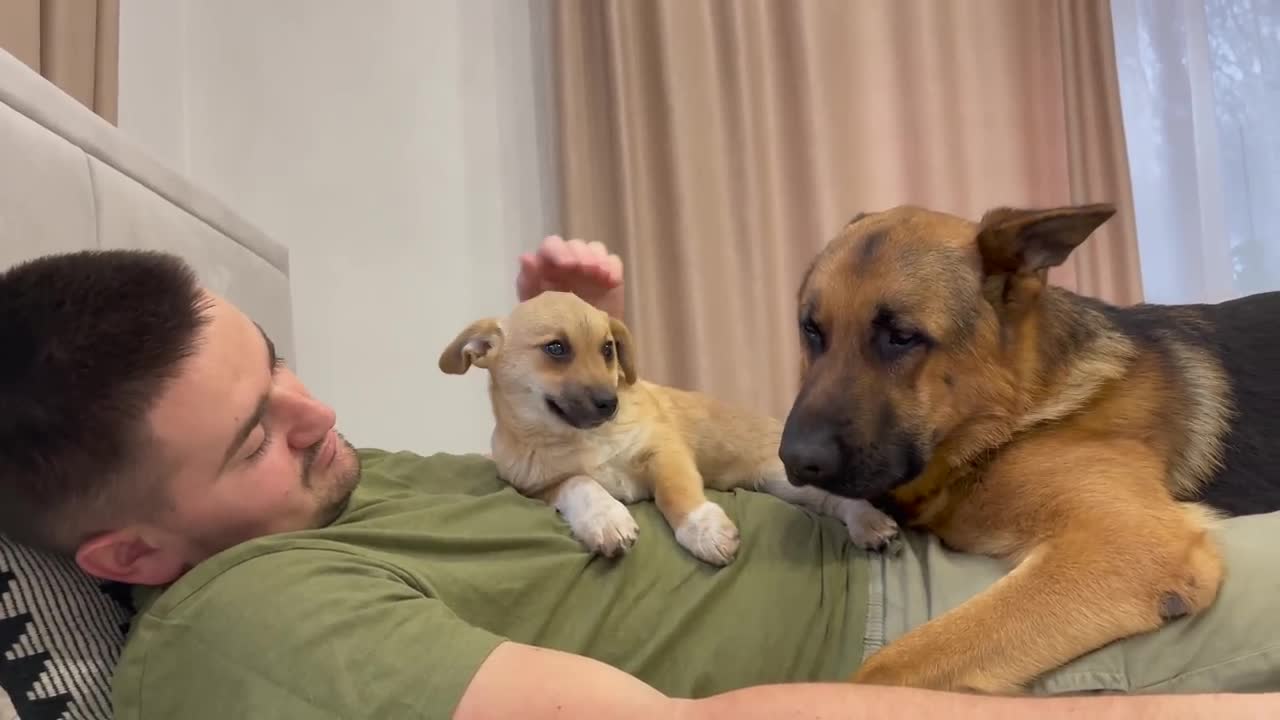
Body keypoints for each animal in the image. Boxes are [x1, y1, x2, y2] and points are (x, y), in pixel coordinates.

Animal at [442, 288, 901, 563]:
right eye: (556, 348)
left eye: (607, 349)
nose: (610, 402)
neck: (583, 439)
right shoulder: (537, 488)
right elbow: (580, 484)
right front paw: (605, 520)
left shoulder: (664, 450)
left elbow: (675, 492)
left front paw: (703, 530)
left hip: (783, 475)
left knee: (841, 499)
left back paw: (869, 521)